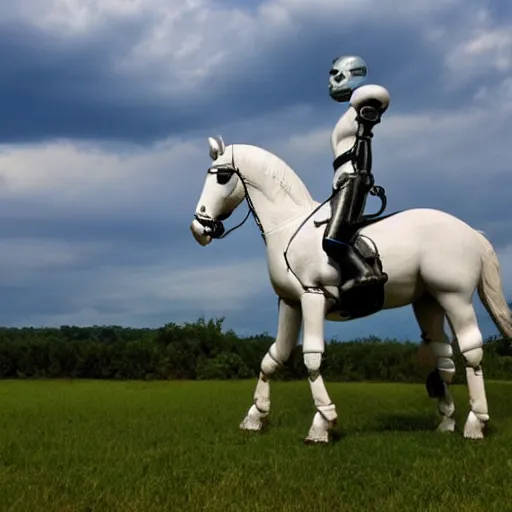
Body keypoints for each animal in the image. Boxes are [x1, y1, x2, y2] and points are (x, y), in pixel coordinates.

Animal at [189, 136, 512, 444]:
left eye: (222, 177)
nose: (199, 229)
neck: (287, 227)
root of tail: (472, 233)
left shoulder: (312, 296)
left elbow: (311, 357)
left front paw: (322, 424)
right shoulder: (290, 303)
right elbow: (273, 358)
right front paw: (255, 417)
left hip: (455, 298)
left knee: (471, 351)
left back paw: (475, 424)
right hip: (428, 300)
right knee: (443, 355)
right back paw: (446, 422)